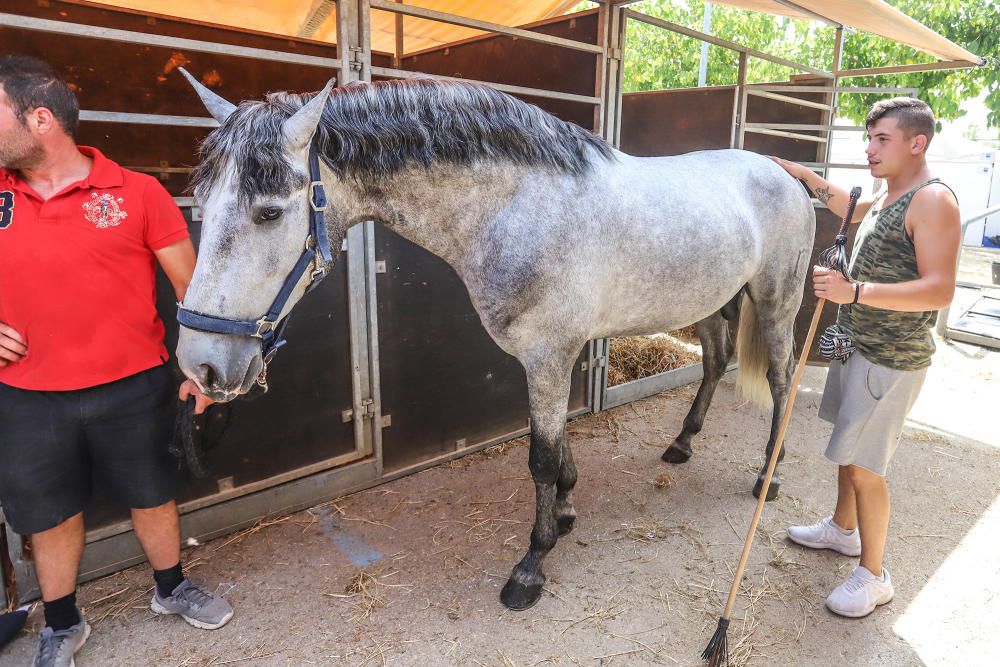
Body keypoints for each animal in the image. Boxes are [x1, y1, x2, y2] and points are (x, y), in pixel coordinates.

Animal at [178, 74, 812, 612]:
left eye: (268, 212)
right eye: (202, 207)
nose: (201, 365)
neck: (518, 207)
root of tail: (785, 173)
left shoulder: (550, 356)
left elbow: (540, 458)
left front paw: (531, 565)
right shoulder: (549, 358)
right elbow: (558, 446)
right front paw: (567, 511)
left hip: (777, 302)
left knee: (782, 380)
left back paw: (769, 475)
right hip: (710, 303)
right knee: (715, 362)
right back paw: (682, 444)